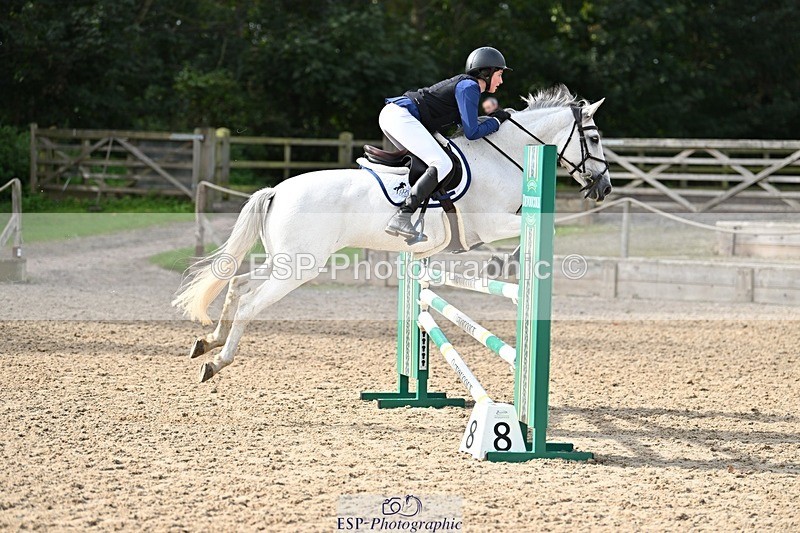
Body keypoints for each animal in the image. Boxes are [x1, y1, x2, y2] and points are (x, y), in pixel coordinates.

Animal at [173, 84, 613, 383]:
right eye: (593, 138)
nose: (605, 188)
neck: (501, 157)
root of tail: (277, 190)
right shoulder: (489, 223)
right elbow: (533, 225)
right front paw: (505, 263)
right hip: (299, 267)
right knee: (250, 303)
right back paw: (217, 361)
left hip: (283, 259)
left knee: (238, 285)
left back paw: (208, 341)